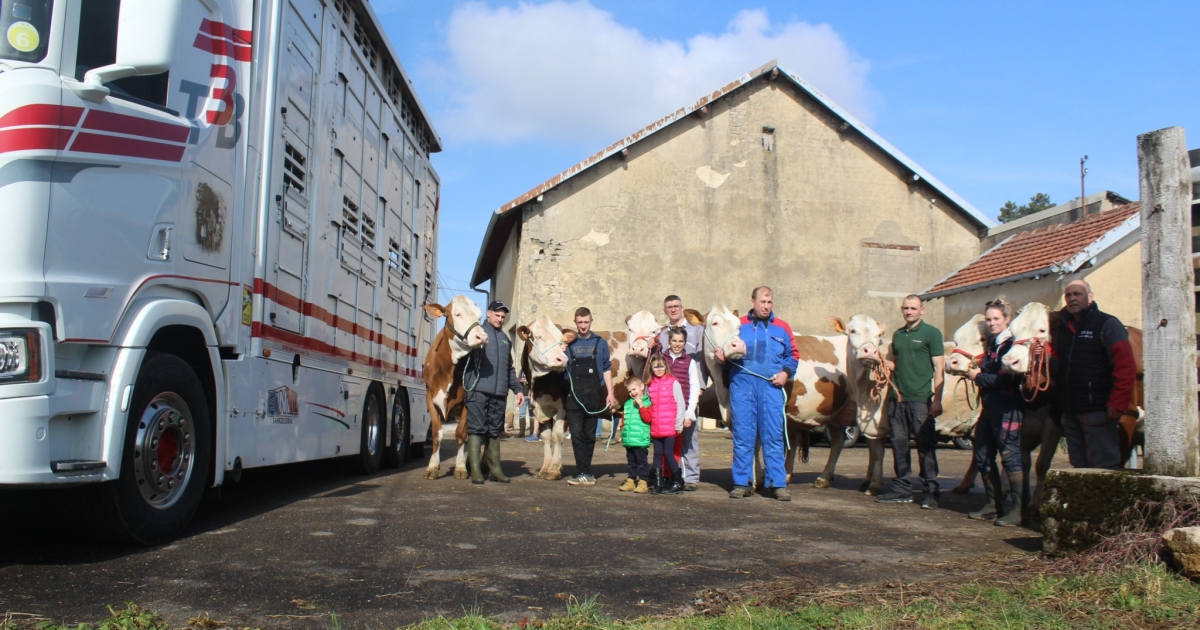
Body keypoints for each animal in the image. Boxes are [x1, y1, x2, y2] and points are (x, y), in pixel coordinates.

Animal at [424, 297, 489, 480]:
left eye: (479, 316)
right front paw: (432, 466)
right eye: (457, 314)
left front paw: (460, 467)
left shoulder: (468, 402)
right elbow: (436, 433)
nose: (482, 336)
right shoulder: (430, 397)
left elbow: (461, 434)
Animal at [513, 316, 573, 480]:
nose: (563, 360)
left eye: (561, 340)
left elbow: (557, 435)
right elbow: (546, 436)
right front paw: (546, 468)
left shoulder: (565, 406)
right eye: (539, 336)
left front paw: (554, 469)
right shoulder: (538, 406)